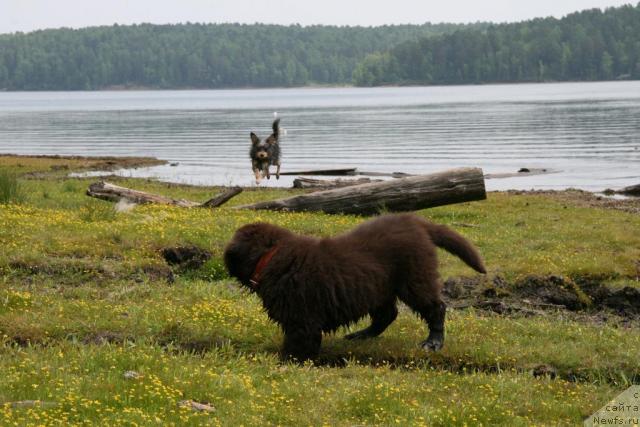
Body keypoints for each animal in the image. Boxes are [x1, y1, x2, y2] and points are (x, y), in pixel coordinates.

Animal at [224, 213, 484, 362]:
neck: (270, 256)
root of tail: (415, 222)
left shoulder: (301, 317)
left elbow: (298, 342)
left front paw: (288, 361)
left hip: (414, 279)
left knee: (435, 307)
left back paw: (433, 342)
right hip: (379, 287)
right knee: (387, 315)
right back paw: (361, 335)